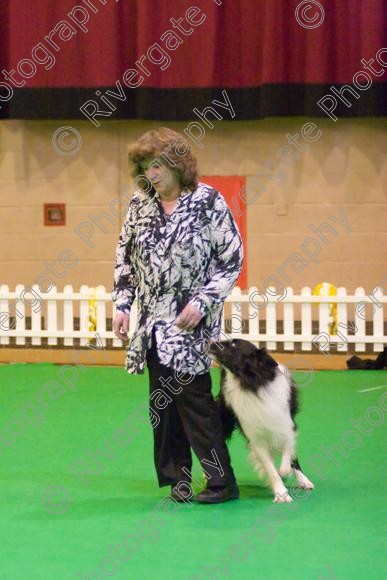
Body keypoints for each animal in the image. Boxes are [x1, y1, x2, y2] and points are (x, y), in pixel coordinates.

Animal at [209, 340, 316, 502]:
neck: (252, 385)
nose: (210, 342)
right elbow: (271, 469)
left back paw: (304, 481)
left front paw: (286, 475)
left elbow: (287, 457)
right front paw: (281, 493)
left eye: (233, 344)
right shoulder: (256, 439)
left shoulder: (287, 426)